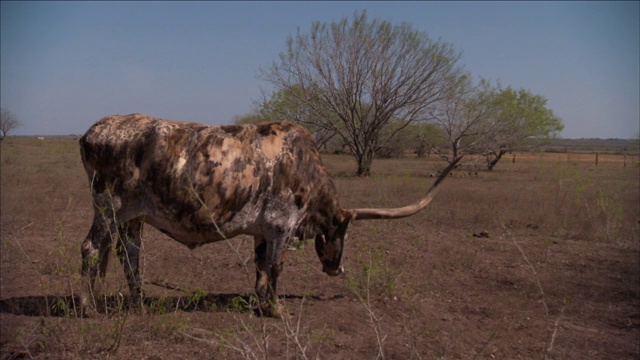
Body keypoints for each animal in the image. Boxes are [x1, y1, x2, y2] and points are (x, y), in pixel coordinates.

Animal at [79, 114, 460, 316]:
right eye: (342, 231)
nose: (336, 268)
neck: (304, 167)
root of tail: (95, 129)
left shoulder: (262, 232)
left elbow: (262, 269)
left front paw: (262, 303)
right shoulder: (281, 226)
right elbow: (276, 267)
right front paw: (277, 310)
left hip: (132, 219)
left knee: (129, 256)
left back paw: (138, 303)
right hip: (109, 208)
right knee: (91, 249)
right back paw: (86, 306)